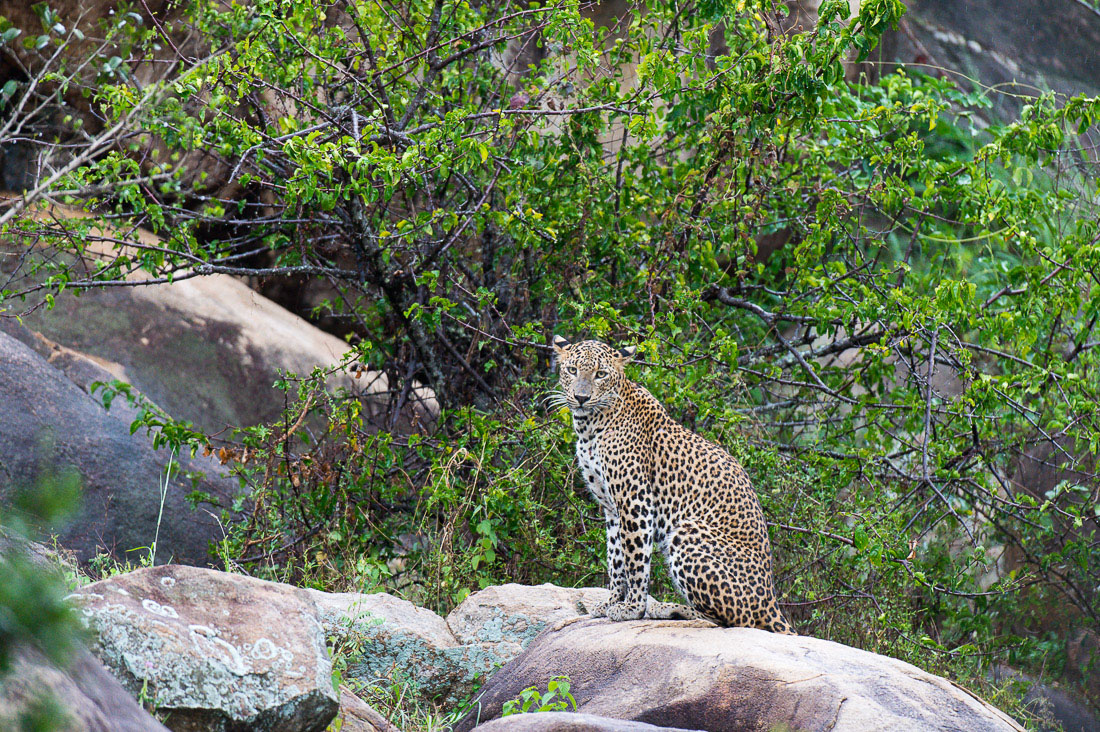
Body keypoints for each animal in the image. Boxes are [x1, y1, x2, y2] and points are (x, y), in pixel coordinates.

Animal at [554, 334, 796, 629]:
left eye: (601, 374)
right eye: (572, 370)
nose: (581, 398)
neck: (589, 426)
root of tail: (772, 603)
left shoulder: (635, 500)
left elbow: (635, 559)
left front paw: (632, 608)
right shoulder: (611, 507)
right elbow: (615, 558)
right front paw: (610, 602)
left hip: (687, 532)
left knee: (732, 620)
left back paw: (667, 608)